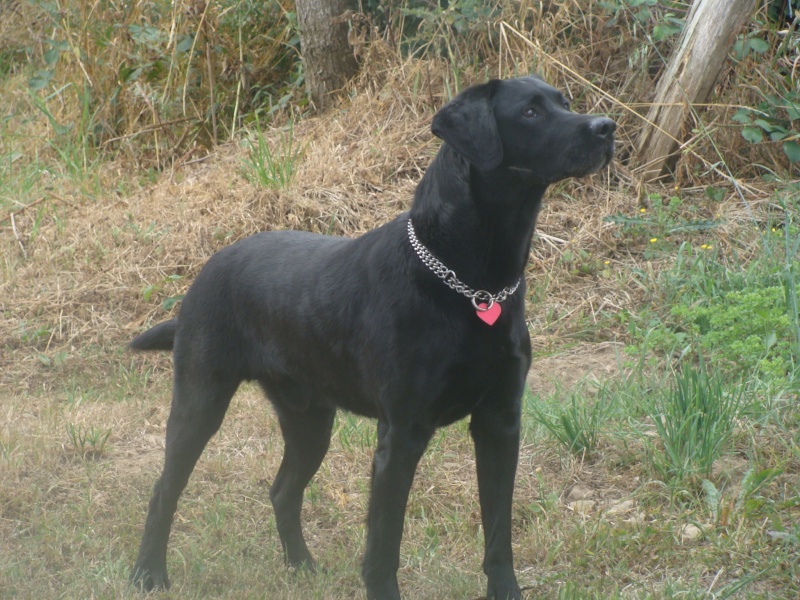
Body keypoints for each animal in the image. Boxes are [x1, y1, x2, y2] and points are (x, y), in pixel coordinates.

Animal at [131, 76, 616, 600]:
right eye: (530, 112)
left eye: (565, 102)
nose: (607, 127)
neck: (475, 285)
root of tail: (206, 271)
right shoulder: (402, 434)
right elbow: (384, 545)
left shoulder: (500, 420)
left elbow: (498, 533)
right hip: (200, 403)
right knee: (162, 491)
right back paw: (148, 575)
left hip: (309, 420)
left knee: (282, 491)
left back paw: (301, 566)